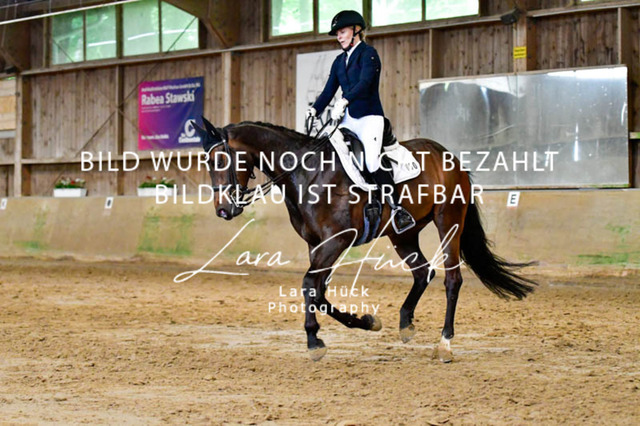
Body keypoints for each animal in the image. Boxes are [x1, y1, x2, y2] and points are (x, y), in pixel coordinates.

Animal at [194, 118, 536, 362]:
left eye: (220, 161)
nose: (223, 209)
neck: (307, 173)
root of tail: (449, 157)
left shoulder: (337, 240)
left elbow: (309, 285)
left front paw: (314, 341)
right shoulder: (317, 245)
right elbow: (319, 292)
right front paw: (365, 322)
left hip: (448, 222)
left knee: (452, 279)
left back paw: (444, 345)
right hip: (403, 234)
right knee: (422, 272)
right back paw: (406, 324)